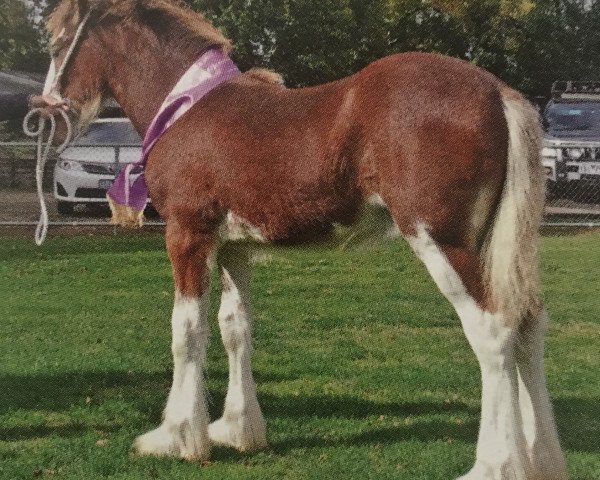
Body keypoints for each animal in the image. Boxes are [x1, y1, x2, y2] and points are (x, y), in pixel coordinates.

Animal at [37, 0, 568, 480]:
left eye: (58, 41)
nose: (44, 111)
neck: (188, 109)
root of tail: (497, 92)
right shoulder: (233, 248)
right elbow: (234, 328)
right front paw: (237, 430)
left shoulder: (188, 235)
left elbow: (186, 333)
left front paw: (176, 437)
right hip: (495, 248)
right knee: (528, 325)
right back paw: (541, 459)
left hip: (443, 241)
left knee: (493, 331)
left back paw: (494, 465)